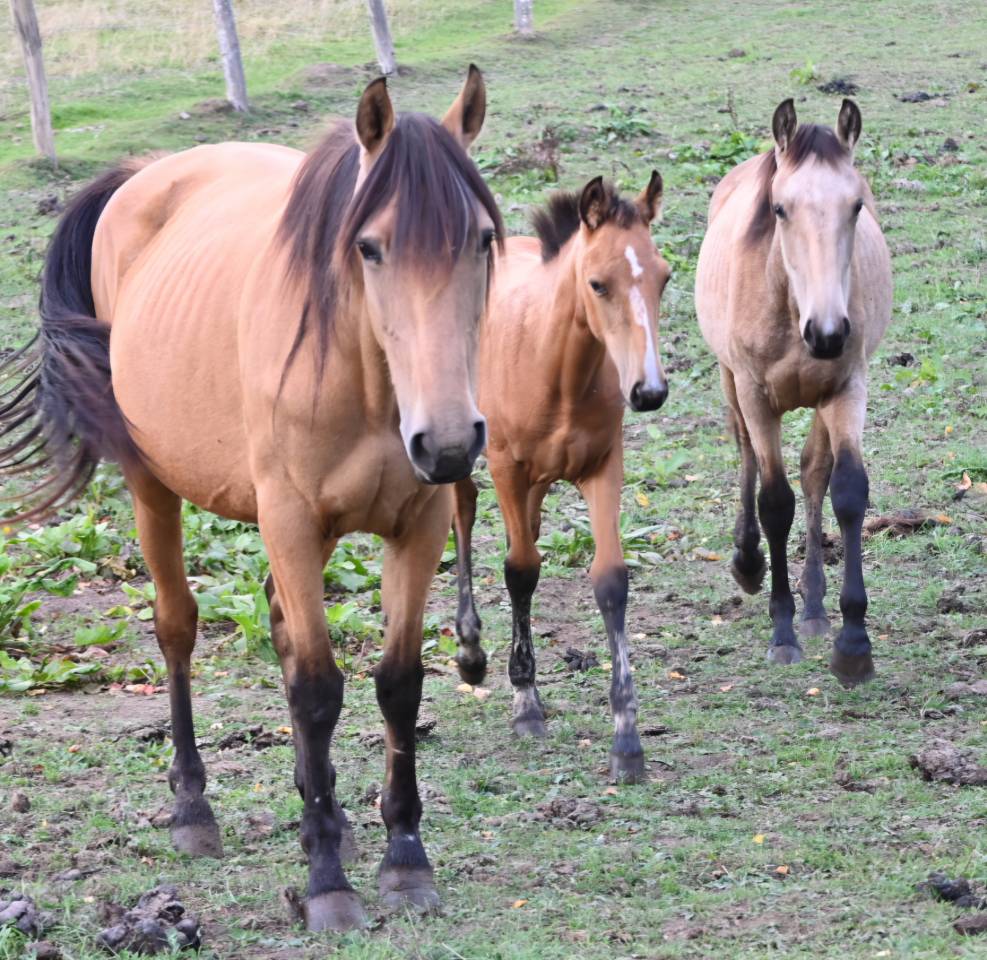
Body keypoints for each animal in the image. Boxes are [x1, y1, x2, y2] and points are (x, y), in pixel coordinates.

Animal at [0, 68, 503, 931]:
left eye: (479, 239)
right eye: (369, 246)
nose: (445, 441)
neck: (362, 377)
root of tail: (143, 174)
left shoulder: (419, 522)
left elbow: (397, 684)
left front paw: (403, 858)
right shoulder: (290, 521)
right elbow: (316, 690)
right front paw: (328, 883)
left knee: (279, 626)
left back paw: (322, 809)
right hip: (155, 486)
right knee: (177, 627)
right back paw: (193, 809)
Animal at [452, 173, 669, 783]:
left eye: (665, 276)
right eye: (598, 284)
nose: (649, 390)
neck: (556, 367)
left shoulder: (603, 467)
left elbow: (610, 580)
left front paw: (627, 739)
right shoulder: (506, 465)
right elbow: (520, 570)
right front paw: (526, 702)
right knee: (463, 510)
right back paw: (471, 652)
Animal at [694, 98, 892, 686]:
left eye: (856, 206)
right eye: (780, 209)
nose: (827, 333)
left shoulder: (848, 387)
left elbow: (846, 491)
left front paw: (852, 643)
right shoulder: (756, 395)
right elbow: (774, 501)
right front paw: (781, 631)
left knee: (814, 473)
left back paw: (816, 607)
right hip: (730, 381)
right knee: (746, 457)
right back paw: (748, 564)